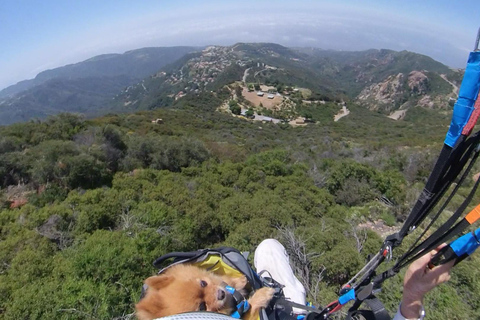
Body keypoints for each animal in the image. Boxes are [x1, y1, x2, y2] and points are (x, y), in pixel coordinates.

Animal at [137, 264, 276, 320]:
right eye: (202, 307)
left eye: (203, 283)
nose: (221, 294)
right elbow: (250, 306)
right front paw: (263, 294)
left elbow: (223, 280)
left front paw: (240, 280)